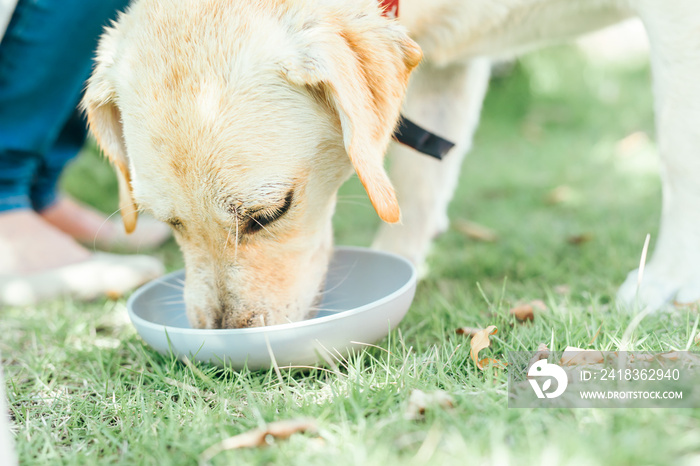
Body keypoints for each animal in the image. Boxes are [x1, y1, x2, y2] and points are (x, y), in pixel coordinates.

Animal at [83, 0, 700, 328]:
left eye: (270, 213)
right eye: (169, 224)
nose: (223, 333)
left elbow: (679, 152)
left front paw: (667, 278)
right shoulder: (450, 66)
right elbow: (420, 187)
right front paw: (400, 264)